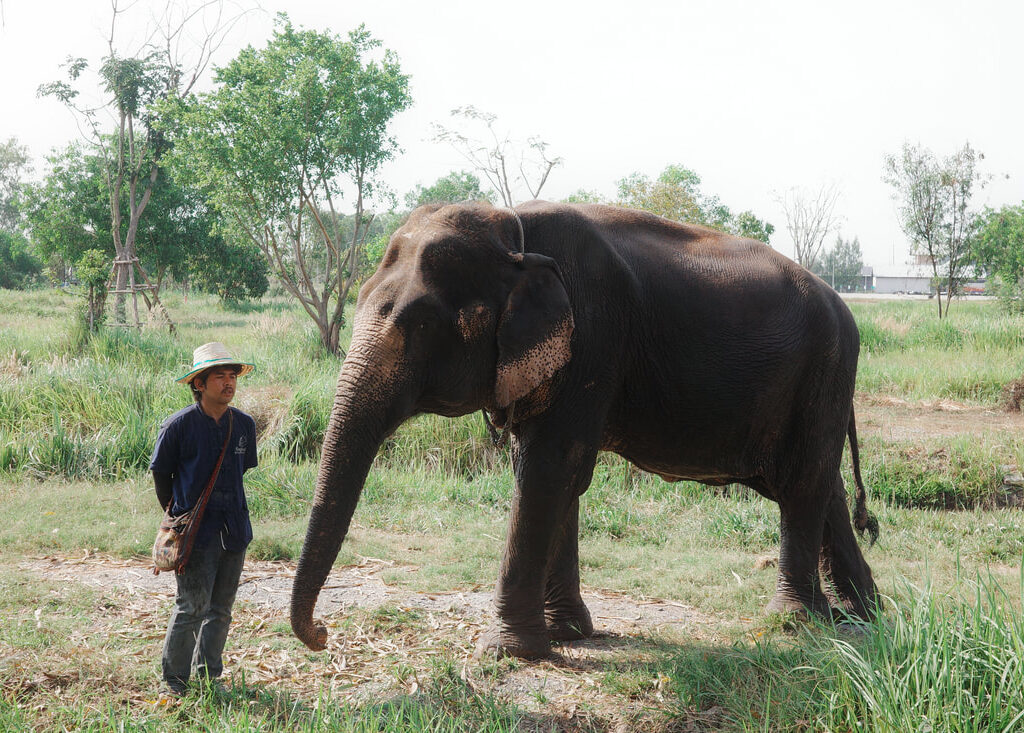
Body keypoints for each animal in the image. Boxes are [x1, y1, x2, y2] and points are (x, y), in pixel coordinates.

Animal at [290, 200, 880, 660]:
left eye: (421, 324)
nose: (323, 634)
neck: (512, 232)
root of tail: (844, 306)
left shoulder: (594, 337)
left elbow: (551, 467)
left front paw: (510, 651)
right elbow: (554, 474)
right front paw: (567, 633)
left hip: (827, 368)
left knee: (803, 483)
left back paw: (795, 623)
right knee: (820, 485)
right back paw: (858, 615)